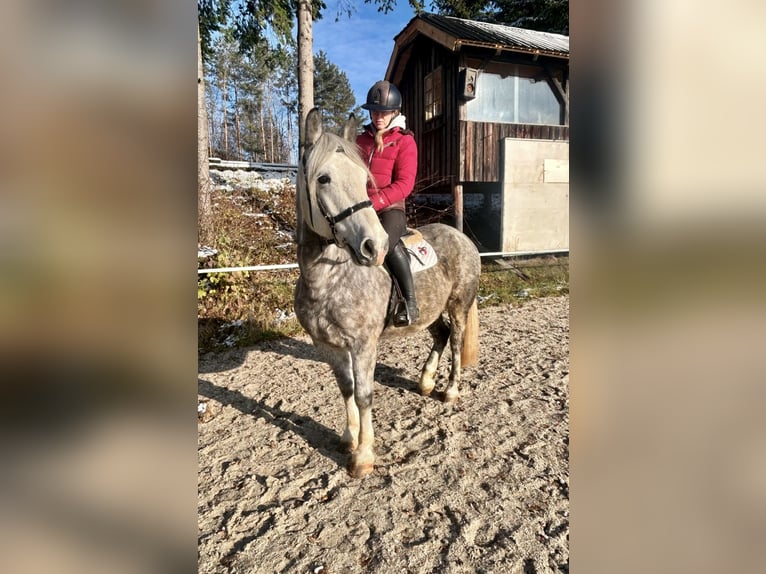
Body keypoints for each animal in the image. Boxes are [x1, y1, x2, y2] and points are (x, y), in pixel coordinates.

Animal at [294, 109, 480, 482]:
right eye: (324, 178)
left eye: (363, 179)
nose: (375, 246)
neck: (329, 279)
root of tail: (462, 237)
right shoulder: (327, 345)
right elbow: (346, 388)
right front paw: (348, 439)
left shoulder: (363, 345)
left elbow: (364, 395)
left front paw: (363, 456)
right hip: (428, 310)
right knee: (440, 335)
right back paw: (425, 382)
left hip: (458, 305)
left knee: (455, 341)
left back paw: (450, 391)